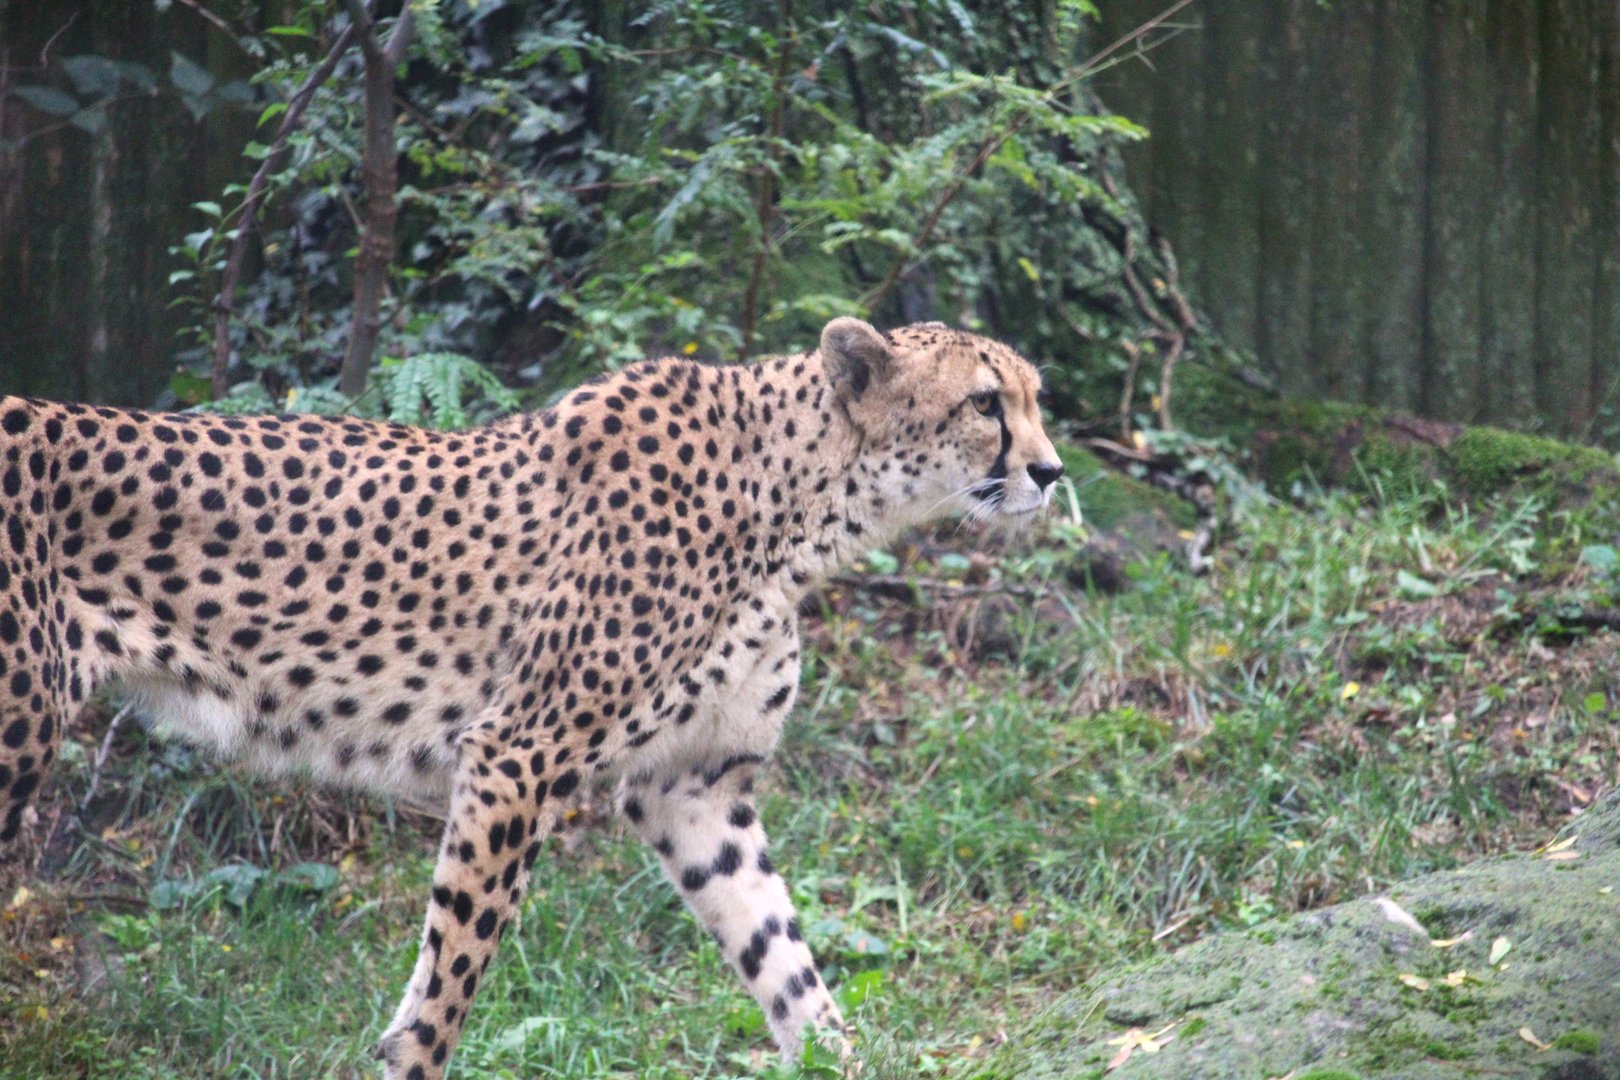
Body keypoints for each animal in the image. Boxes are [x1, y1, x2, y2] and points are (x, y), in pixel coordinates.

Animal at [0, 316, 1063, 1078]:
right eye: (985, 403)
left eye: (1035, 398)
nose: (1051, 471)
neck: (802, 507)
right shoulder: (519, 754)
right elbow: (451, 975)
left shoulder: (695, 786)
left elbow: (782, 955)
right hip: (18, 737)